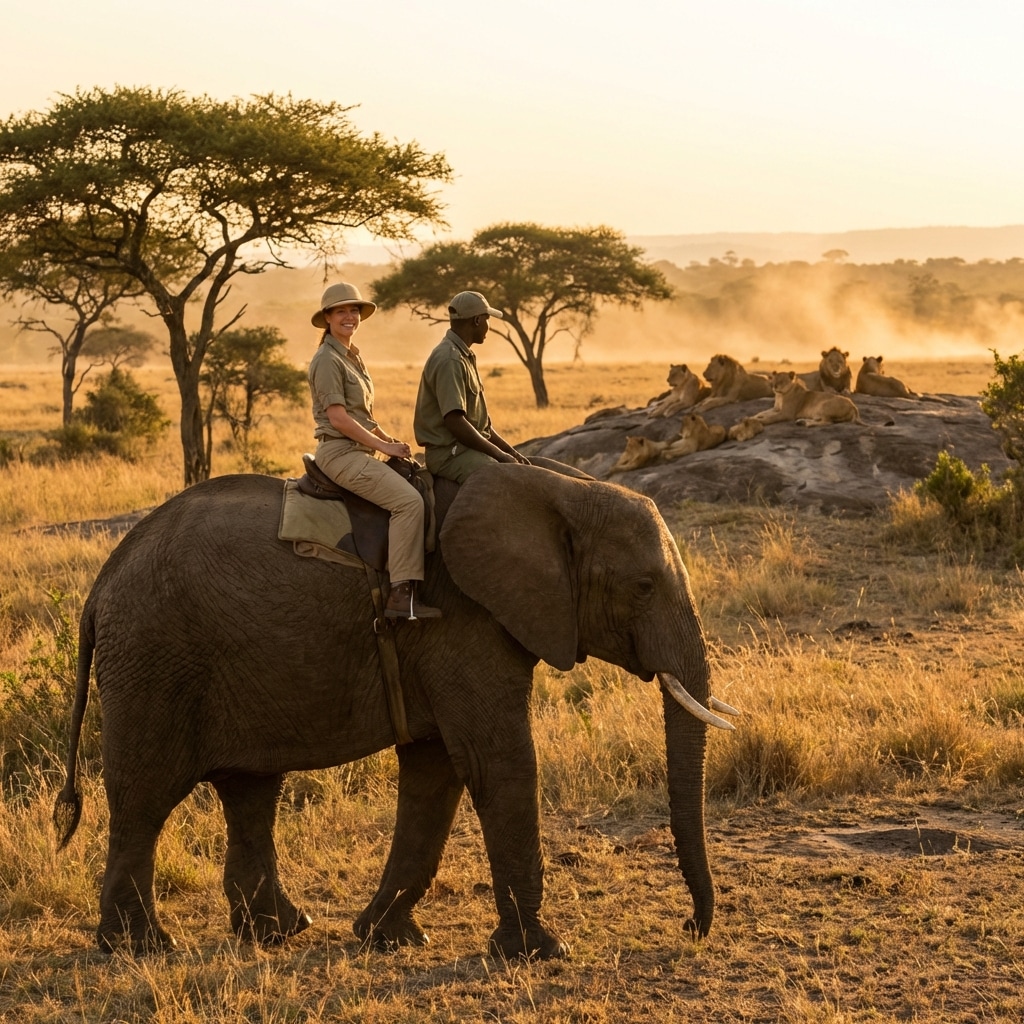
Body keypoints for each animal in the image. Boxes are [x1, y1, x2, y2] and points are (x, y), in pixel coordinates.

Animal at [54, 462, 738, 958]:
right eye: (643, 587)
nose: (691, 928)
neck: (558, 487)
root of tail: (100, 585)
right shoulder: (462, 619)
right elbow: (497, 762)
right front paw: (543, 951)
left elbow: (435, 775)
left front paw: (390, 939)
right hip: (155, 658)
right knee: (146, 795)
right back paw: (140, 947)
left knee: (250, 789)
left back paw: (280, 931)